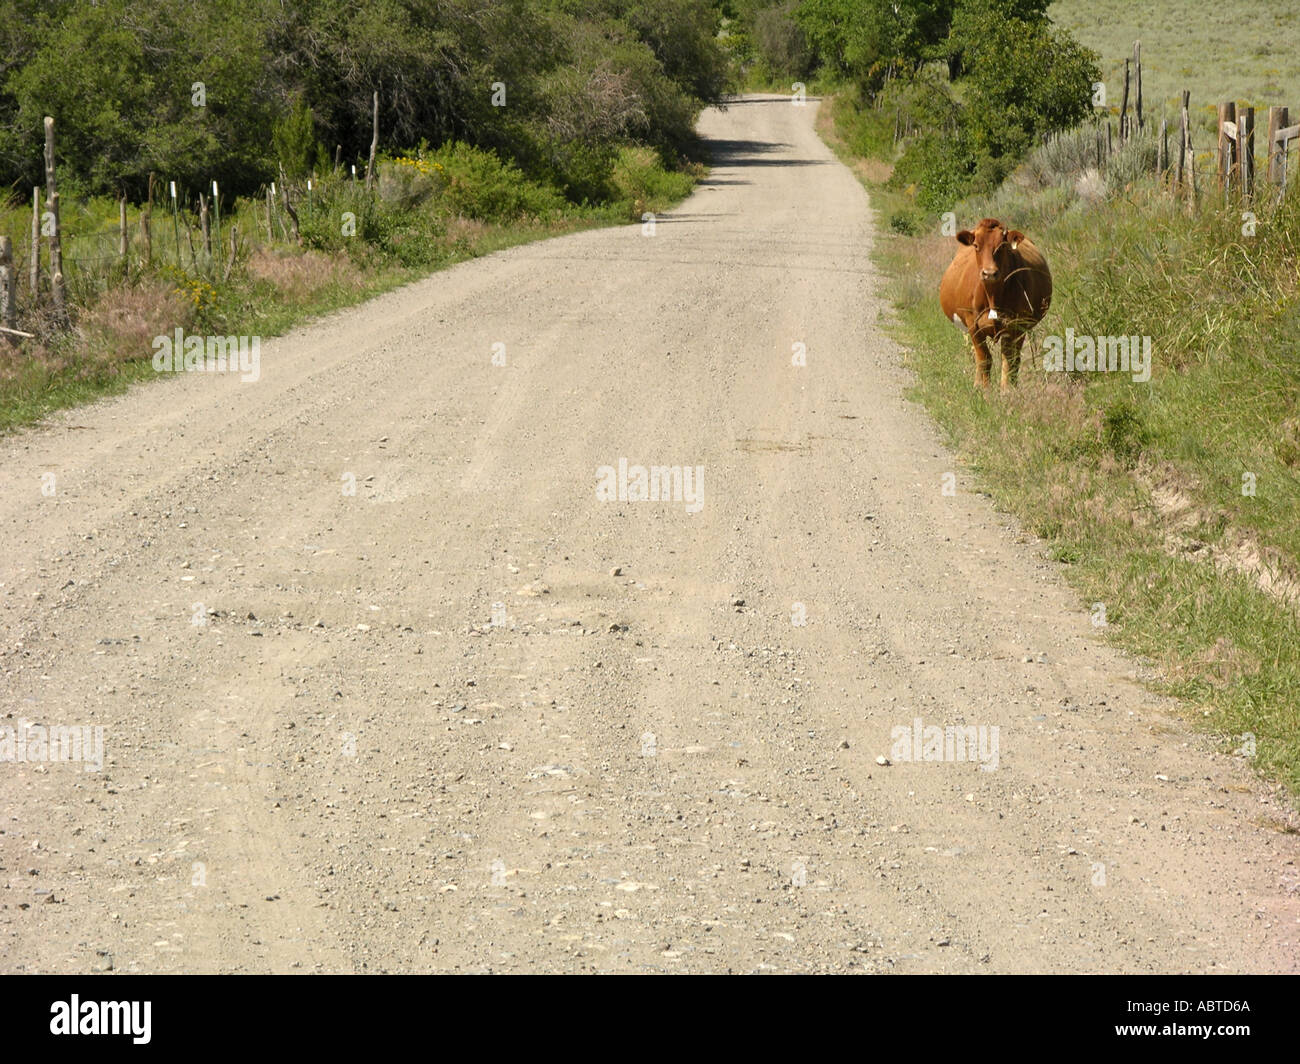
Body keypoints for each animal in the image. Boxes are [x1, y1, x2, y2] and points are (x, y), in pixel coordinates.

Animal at [939, 218, 1052, 390]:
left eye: (1002, 246)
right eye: (976, 245)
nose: (989, 273)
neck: (992, 297)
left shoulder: (1016, 325)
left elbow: (1010, 360)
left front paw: (1007, 390)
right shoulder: (973, 325)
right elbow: (984, 359)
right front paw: (985, 389)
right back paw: (977, 384)